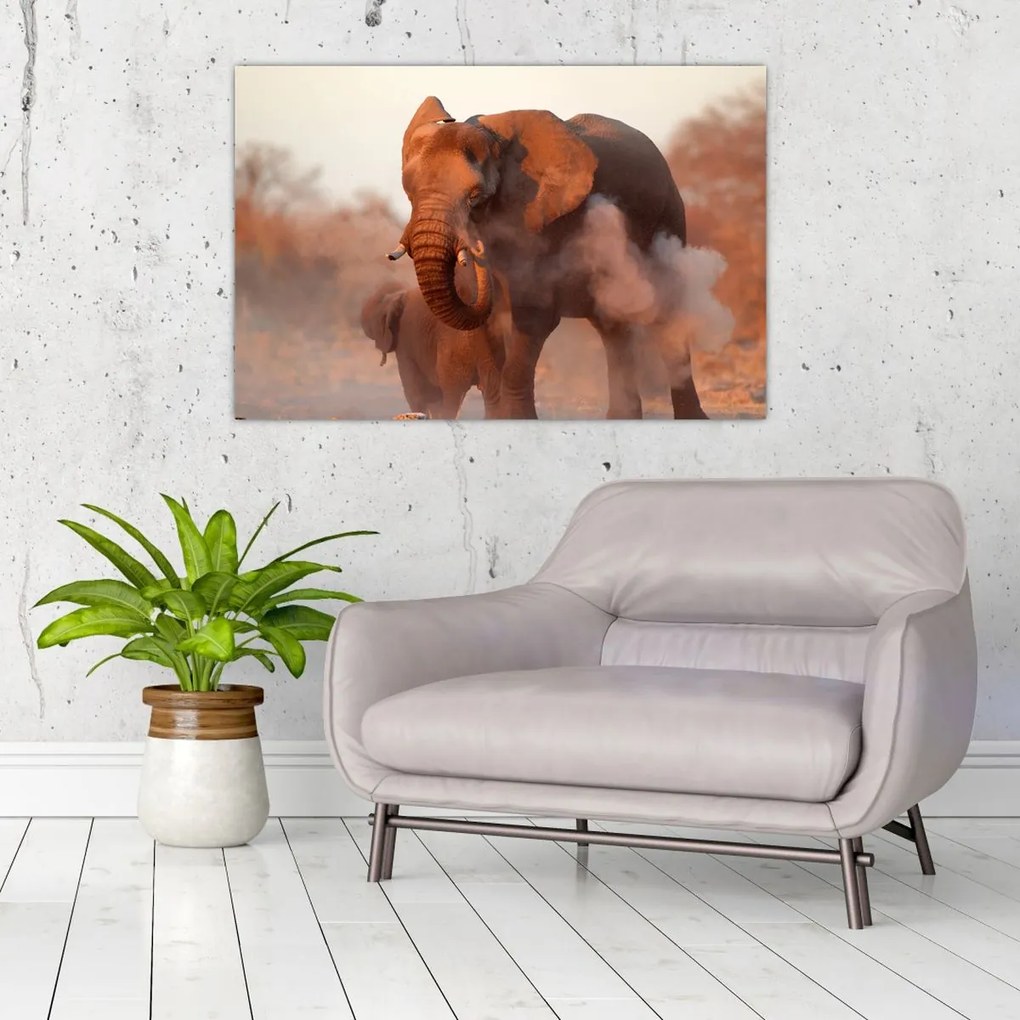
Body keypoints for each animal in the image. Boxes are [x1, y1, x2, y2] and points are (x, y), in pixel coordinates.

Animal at [388, 95, 709, 419]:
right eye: (409, 192)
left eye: (475, 196)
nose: (477, 249)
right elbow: (486, 328)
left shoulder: (544, 223)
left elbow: (533, 317)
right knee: (611, 325)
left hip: (669, 218)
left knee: (667, 314)